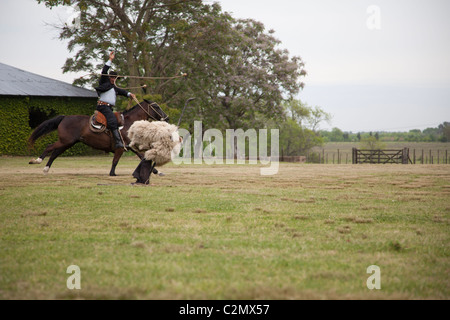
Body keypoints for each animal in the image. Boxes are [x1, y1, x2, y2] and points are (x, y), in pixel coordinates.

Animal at [28, 100, 169, 176]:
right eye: (156, 106)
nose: (166, 117)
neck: (129, 124)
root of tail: (65, 117)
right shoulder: (121, 148)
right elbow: (115, 161)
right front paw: (112, 174)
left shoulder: (132, 147)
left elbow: (143, 157)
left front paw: (157, 172)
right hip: (65, 141)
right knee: (49, 147)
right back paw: (37, 160)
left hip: (68, 143)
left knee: (54, 154)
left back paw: (46, 169)